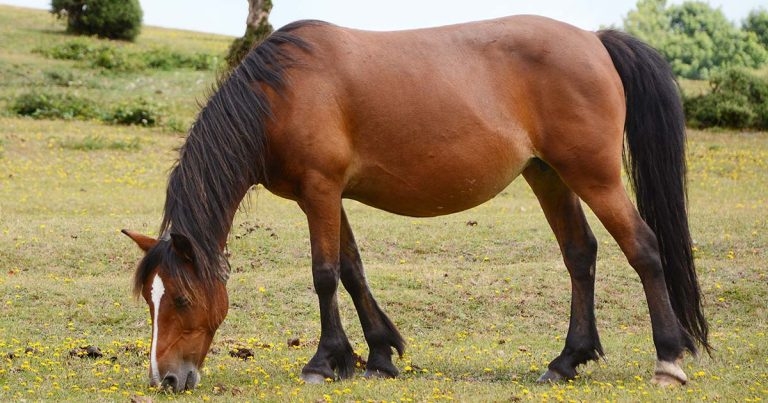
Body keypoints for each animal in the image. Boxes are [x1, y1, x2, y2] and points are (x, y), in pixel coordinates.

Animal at [122, 15, 709, 392]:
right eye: (150, 300)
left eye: (180, 299)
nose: (166, 379)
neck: (280, 95)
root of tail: (595, 40)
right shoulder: (330, 196)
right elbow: (353, 270)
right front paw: (377, 355)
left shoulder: (319, 191)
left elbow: (325, 274)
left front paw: (324, 361)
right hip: (548, 175)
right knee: (580, 253)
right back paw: (566, 360)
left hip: (594, 175)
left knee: (643, 249)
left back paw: (668, 361)